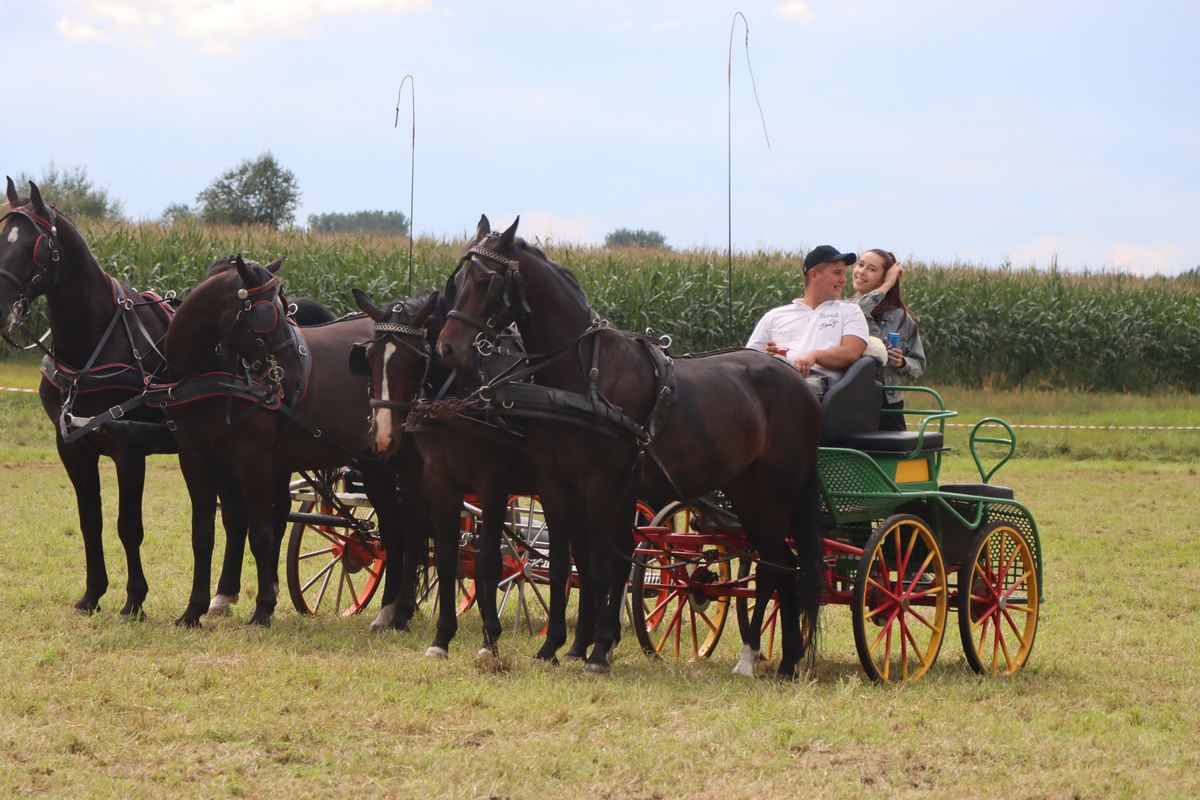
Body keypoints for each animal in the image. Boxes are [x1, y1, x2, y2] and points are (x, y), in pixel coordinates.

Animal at [157, 253, 424, 628]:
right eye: (267, 315)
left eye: (285, 309)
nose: (295, 375)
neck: (208, 375)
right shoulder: (195, 461)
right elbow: (203, 535)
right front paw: (193, 611)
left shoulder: (252, 461)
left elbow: (262, 532)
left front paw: (262, 609)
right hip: (372, 464)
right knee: (394, 529)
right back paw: (390, 609)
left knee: (410, 530)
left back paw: (397, 611)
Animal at [439, 217, 825, 676]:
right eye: (456, 280)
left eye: (485, 281)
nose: (447, 348)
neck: (582, 378)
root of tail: (798, 382)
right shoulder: (556, 486)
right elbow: (565, 566)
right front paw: (553, 647)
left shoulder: (605, 486)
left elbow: (606, 566)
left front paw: (599, 651)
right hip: (746, 490)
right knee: (779, 562)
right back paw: (780, 658)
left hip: (778, 491)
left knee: (777, 566)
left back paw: (760, 659)